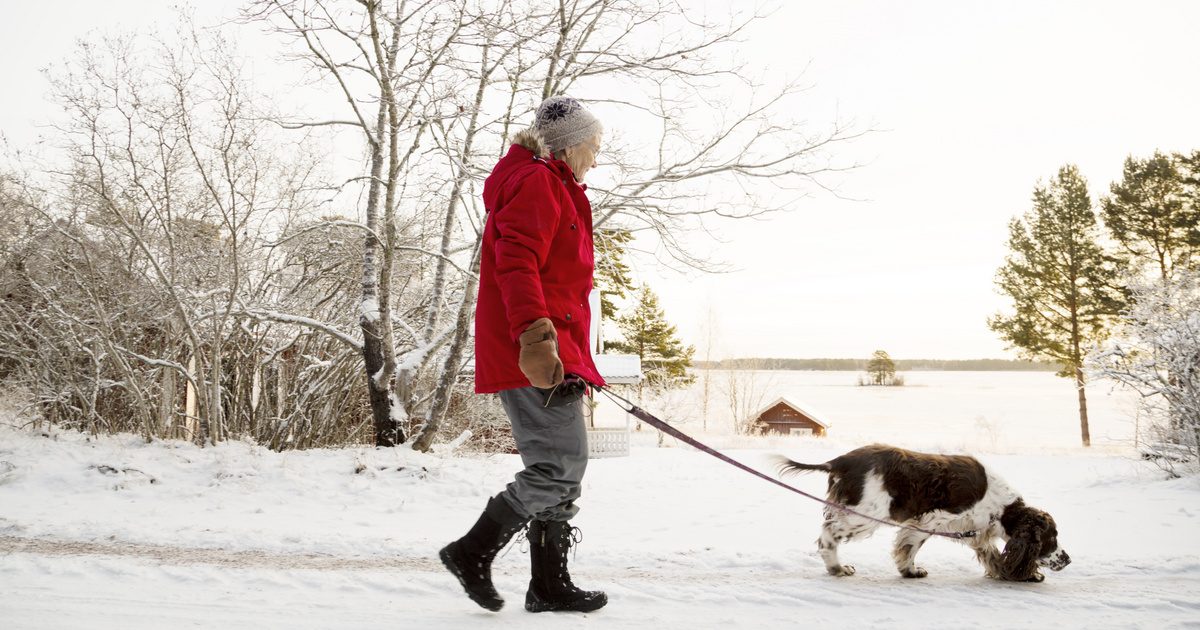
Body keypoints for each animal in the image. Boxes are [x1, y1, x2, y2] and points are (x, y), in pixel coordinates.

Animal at [772, 444, 1075, 583]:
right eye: (1052, 537)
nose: (1068, 560)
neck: (1002, 508)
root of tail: (840, 461)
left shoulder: (973, 530)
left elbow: (992, 555)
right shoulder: (932, 519)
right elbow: (910, 546)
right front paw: (910, 570)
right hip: (864, 515)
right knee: (828, 535)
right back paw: (837, 567)